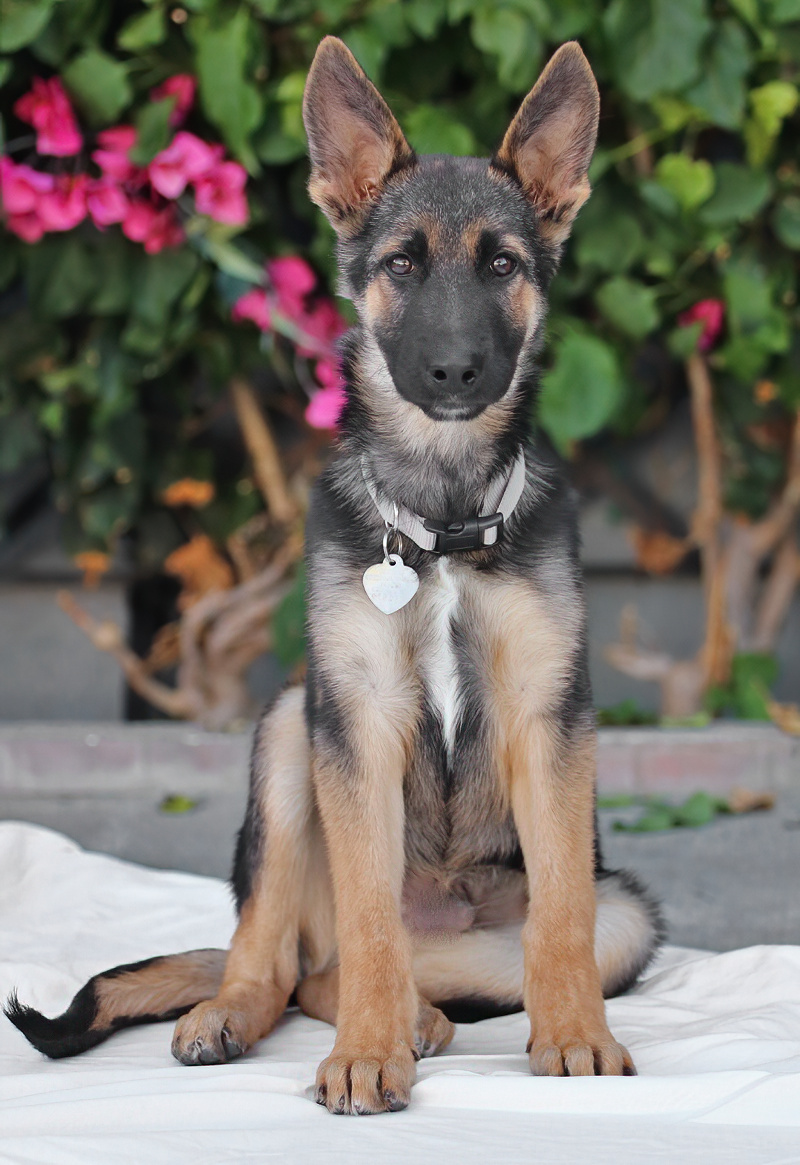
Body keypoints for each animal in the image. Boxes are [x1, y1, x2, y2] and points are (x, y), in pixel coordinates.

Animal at [6, 37, 663, 1115]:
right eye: (400, 264)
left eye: (503, 265)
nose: (454, 373)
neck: (441, 519)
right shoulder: (353, 716)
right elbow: (366, 921)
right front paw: (365, 1053)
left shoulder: (548, 717)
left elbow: (560, 914)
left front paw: (572, 1035)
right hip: (288, 731)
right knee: (286, 954)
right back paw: (245, 1013)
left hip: (622, 918)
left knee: (368, 963)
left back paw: (424, 1014)